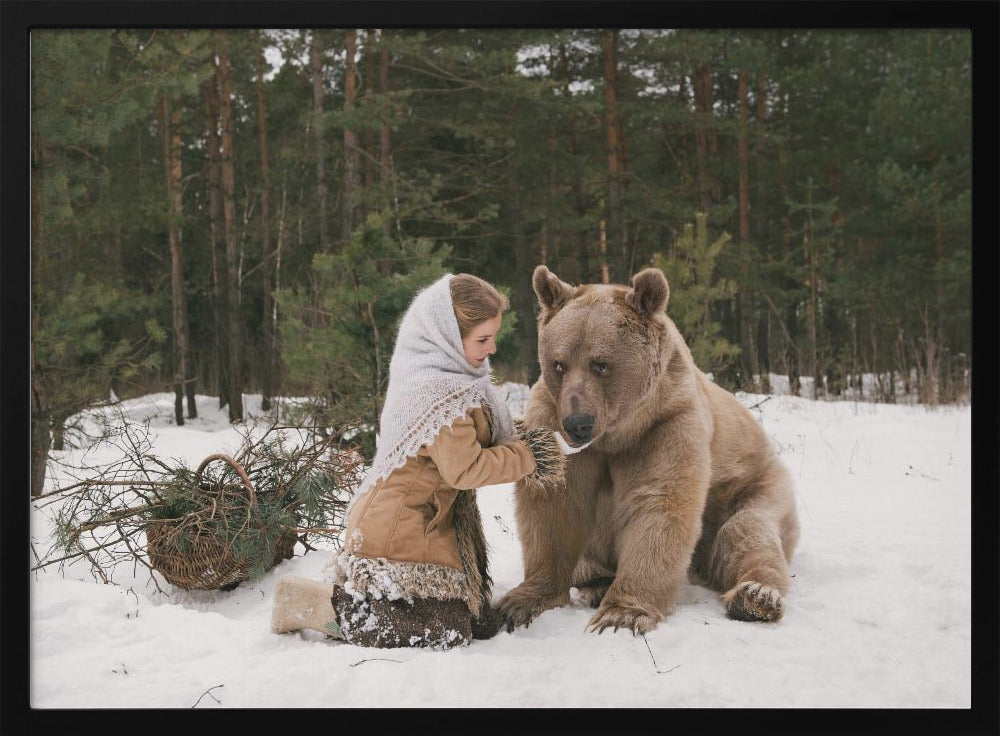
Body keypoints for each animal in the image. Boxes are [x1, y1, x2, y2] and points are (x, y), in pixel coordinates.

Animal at [496, 264, 800, 632]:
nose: (578, 423)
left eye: (600, 363)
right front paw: (521, 601)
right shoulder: (552, 418)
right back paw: (596, 580)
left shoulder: (666, 424)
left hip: (756, 485)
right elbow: (554, 503)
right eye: (559, 364)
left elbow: (659, 501)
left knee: (747, 531)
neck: (617, 434)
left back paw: (756, 596)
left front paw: (622, 613)